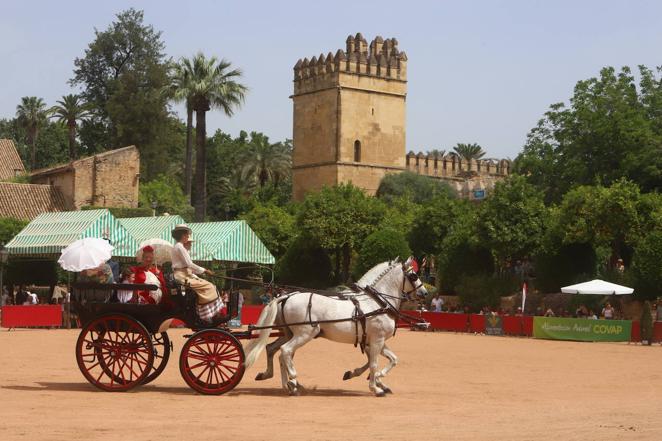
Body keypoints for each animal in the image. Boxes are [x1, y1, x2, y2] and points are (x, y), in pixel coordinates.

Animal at [243, 256, 426, 398]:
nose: (424, 293)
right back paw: (293, 382)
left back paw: (286, 384)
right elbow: (374, 363)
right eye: (414, 275)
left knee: (275, 351)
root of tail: (286, 296)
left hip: (290, 333)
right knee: (285, 351)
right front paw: (376, 387)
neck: (377, 303)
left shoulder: (373, 341)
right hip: (304, 334)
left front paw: (374, 379)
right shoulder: (377, 340)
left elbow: (392, 359)